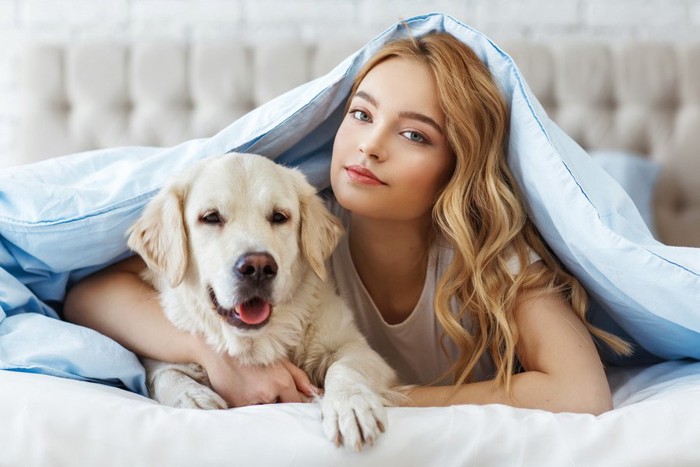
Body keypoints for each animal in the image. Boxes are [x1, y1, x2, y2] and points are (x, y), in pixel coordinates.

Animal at [126, 153, 400, 450]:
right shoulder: (160, 352)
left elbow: (344, 367)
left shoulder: (359, 349)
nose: (257, 267)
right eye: (211, 217)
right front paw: (191, 397)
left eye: (279, 217)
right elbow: (165, 372)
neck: (260, 342)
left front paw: (350, 406)